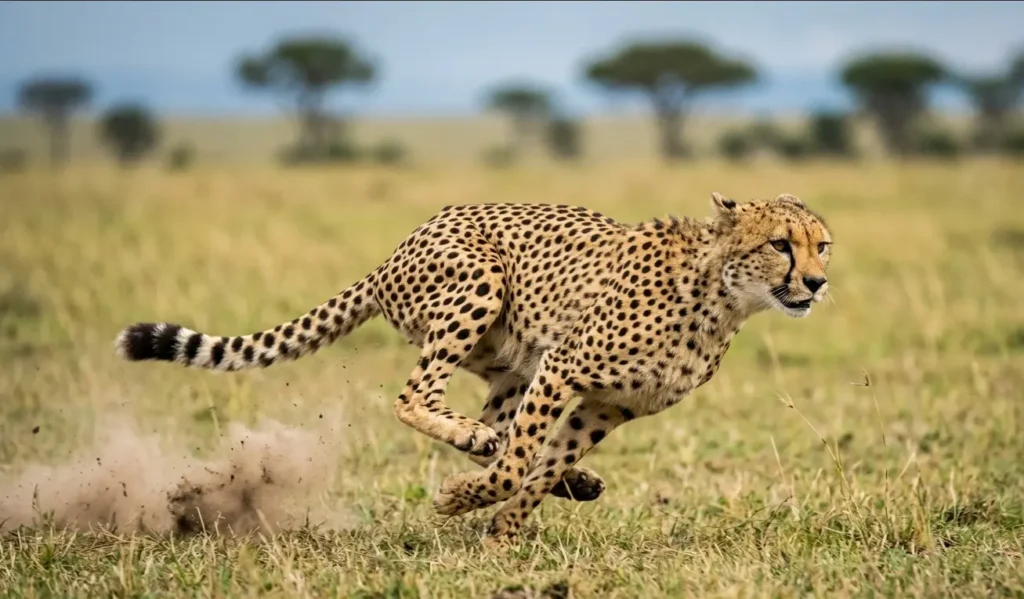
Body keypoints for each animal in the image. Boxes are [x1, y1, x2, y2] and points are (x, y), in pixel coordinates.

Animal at [113, 191, 833, 546]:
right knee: (416, 397)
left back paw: (545, 469)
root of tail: (400, 246)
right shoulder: (565, 367)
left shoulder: (608, 404)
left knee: (501, 428)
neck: (722, 296)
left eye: (821, 245)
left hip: (511, 366)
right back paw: (479, 447)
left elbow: (540, 463)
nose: (818, 283)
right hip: (479, 286)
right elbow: (520, 465)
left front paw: (504, 529)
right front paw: (467, 502)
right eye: (780, 245)